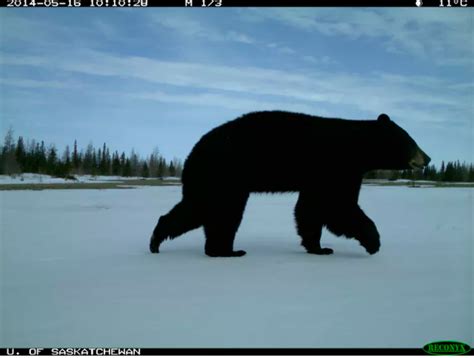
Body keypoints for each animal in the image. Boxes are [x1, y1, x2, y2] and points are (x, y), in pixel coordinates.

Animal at [150, 112, 432, 258]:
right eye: (411, 140)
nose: (428, 158)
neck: (357, 148)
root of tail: (192, 152)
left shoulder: (323, 177)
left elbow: (312, 209)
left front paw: (318, 247)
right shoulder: (336, 168)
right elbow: (339, 207)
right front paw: (373, 242)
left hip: (215, 181)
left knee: (201, 210)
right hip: (224, 177)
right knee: (219, 212)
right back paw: (224, 251)